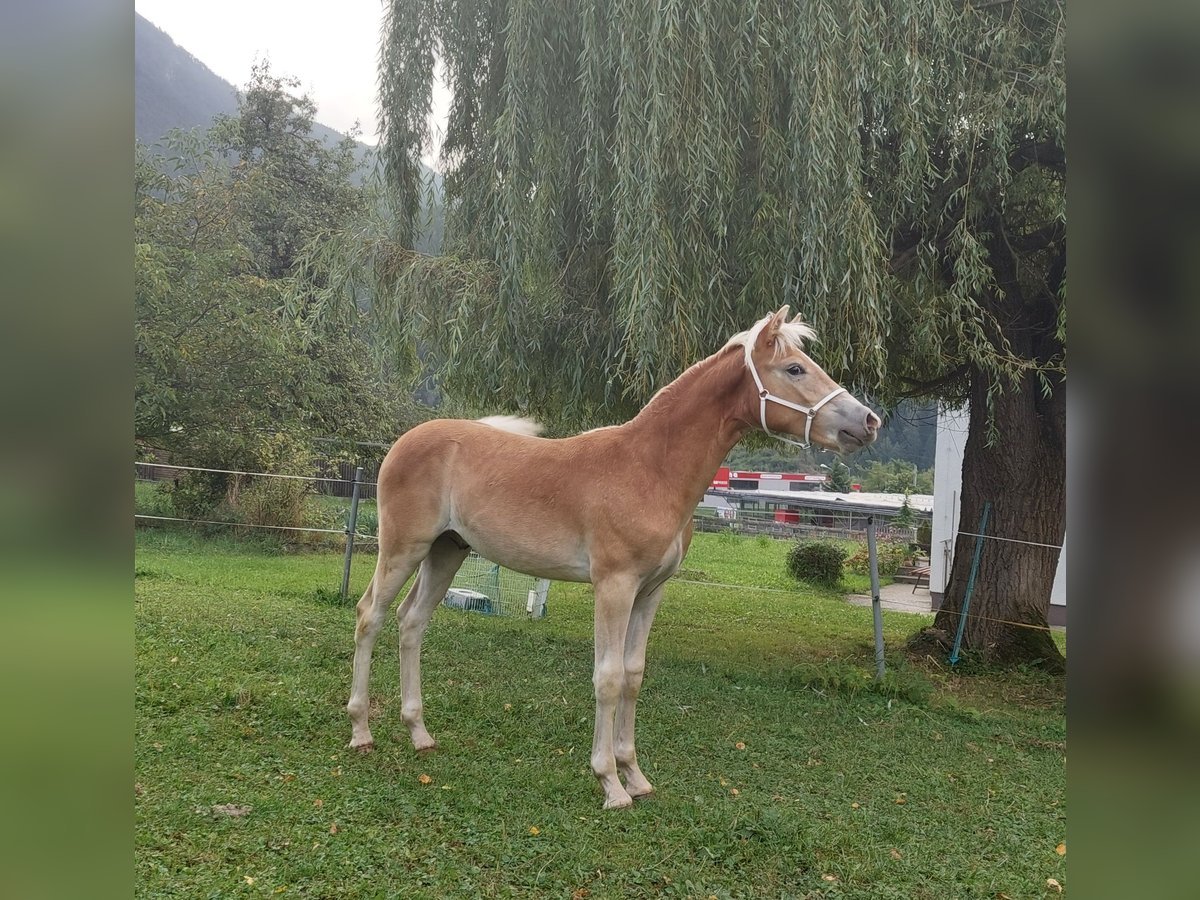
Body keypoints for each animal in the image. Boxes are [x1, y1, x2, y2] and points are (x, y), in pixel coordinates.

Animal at [348, 309, 883, 811]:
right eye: (794, 368)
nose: (868, 422)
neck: (649, 469)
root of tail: (404, 441)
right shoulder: (614, 586)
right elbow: (606, 677)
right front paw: (609, 783)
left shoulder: (650, 592)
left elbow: (632, 675)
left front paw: (635, 775)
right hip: (403, 548)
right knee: (370, 615)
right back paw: (361, 731)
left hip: (446, 552)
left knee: (412, 622)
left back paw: (419, 733)